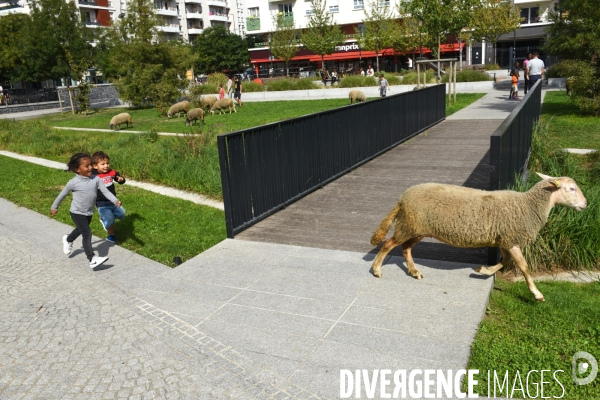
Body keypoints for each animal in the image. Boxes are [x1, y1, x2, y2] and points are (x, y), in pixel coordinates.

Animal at [368, 173, 588, 302]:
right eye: (571, 189)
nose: (585, 204)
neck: (528, 205)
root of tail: (402, 198)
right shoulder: (512, 238)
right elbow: (523, 266)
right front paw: (537, 294)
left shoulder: (504, 240)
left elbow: (506, 262)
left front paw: (483, 270)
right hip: (410, 224)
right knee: (389, 244)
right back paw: (377, 270)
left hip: (418, 227)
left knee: (406, 247)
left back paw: (414, 271)